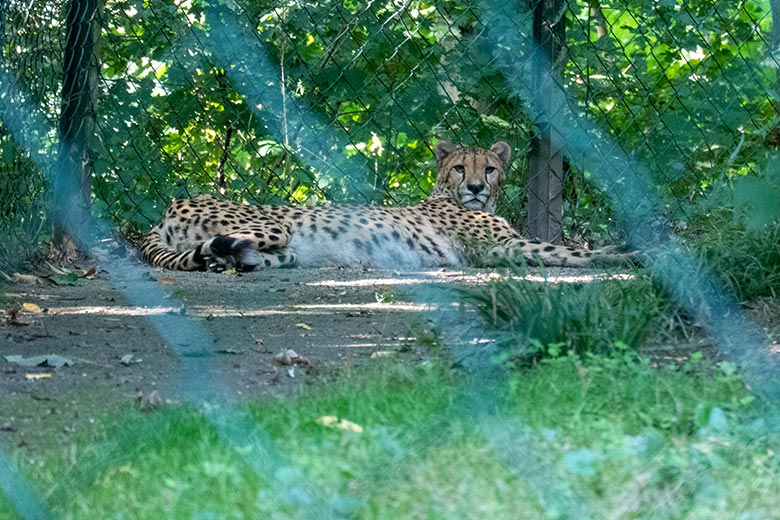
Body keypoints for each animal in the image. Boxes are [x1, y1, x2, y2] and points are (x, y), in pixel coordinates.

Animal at [137, 142, 632, 272]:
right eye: (459, 168)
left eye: (490, 168)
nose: (475, 187)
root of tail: (171, 205)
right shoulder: (497, 250)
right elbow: (566, 252)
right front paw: (629, 255)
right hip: (276, 228)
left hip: (285, 249)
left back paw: (234, 263)